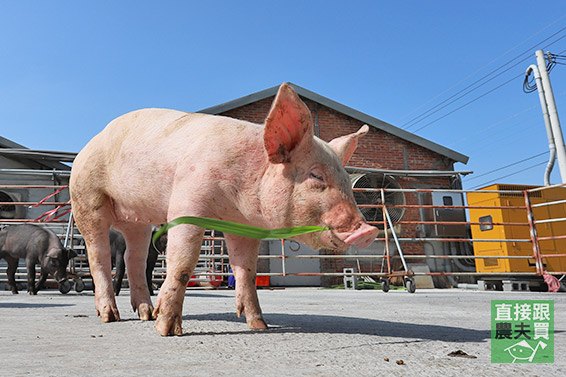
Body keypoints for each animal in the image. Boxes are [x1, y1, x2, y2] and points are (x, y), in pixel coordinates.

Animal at [72, 83, 382, 336]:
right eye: (316, 175)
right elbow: (182, 264)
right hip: (86, 198)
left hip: (138, 220)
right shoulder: (187, 201)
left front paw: (259, 325)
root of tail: (86, 147)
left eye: (347, 181)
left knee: (134, 257)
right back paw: (111, 317)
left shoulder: (245, 227)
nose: (368, 230)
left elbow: (247, 271)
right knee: (99, 257)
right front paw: (167, 331)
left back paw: (145, 314)